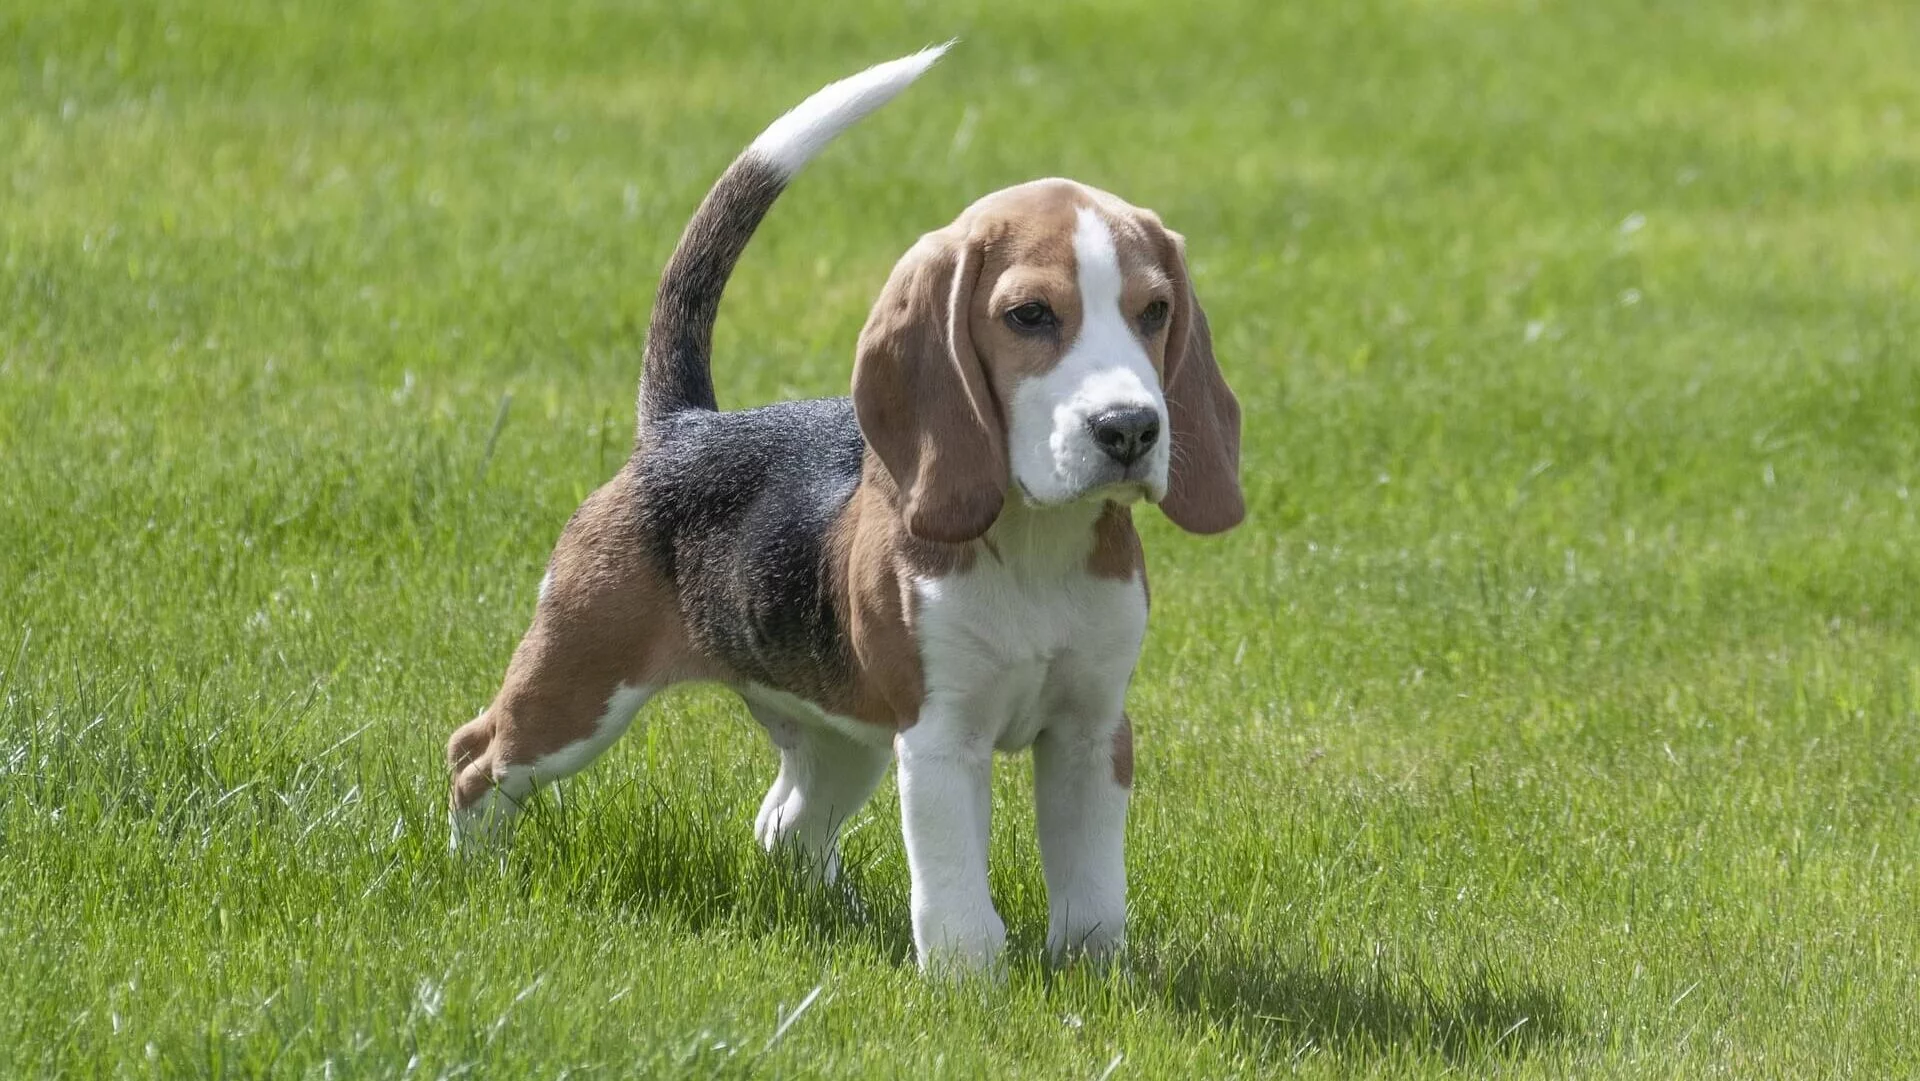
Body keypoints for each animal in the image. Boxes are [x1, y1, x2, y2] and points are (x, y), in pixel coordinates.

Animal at [441, 44, 1236, 971]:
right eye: (1030, 315)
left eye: (1156, 312)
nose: (1130, 427)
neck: (1036, 543)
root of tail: (682, 426)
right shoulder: (939, 737)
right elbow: (956, 893)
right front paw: (968, 982)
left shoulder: (1092, 731)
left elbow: (1093, 891)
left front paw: (1092, 972)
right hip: (577, 684)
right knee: (477, 756)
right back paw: (473, 869)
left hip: (840, 735)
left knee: (783, 826)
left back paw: (843, 915)